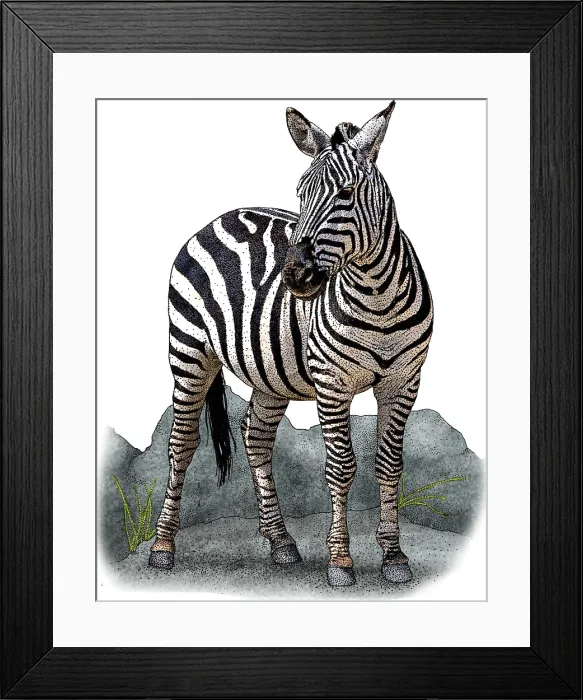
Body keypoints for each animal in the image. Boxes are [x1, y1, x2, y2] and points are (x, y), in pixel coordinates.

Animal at [149, 102, 433, 587]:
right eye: (300, 195)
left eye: (347, 193)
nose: (295, 276)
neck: (378, 297)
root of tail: (221, 217)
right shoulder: (332, 382)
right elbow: (341, 466)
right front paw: (340, 562)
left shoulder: (403, 382)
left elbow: (389, 465)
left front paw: (394, 557)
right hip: (188, 350)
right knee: (181, 443)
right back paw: (163, 547)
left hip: (270, 371)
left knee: (256, 437)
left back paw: (281, 541)